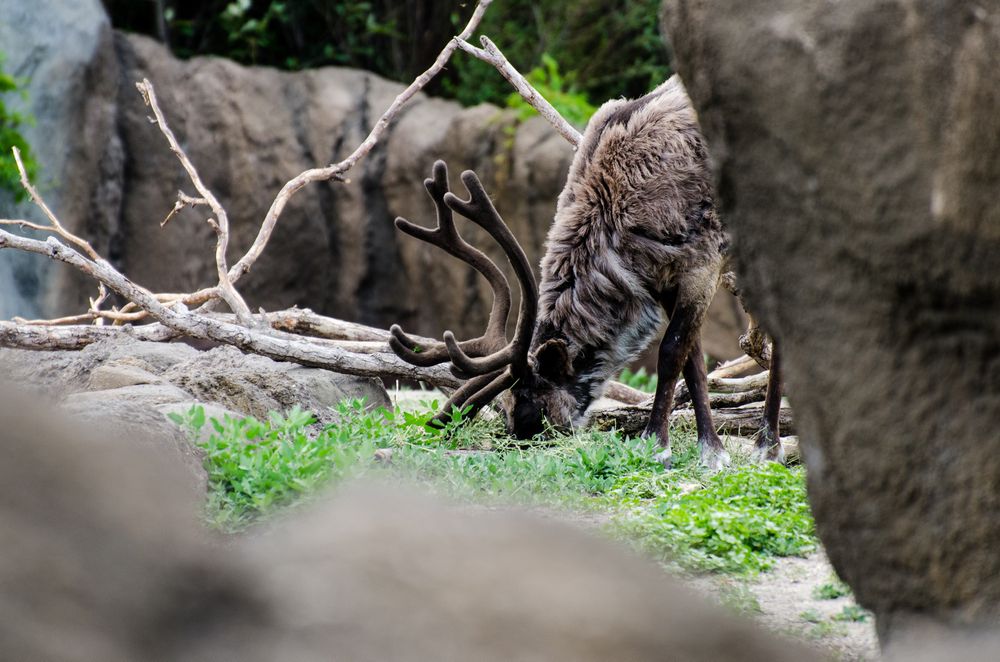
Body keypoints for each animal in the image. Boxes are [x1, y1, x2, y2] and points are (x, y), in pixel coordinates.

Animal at [389, 75, 783, 469]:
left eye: (531, 404)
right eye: (505, 408)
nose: (519, 438)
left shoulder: (701, 263)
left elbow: (671, 353)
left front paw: (660, 444)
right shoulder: (663, 283)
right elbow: (694, 365)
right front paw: (710, 449)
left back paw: (769, 444)